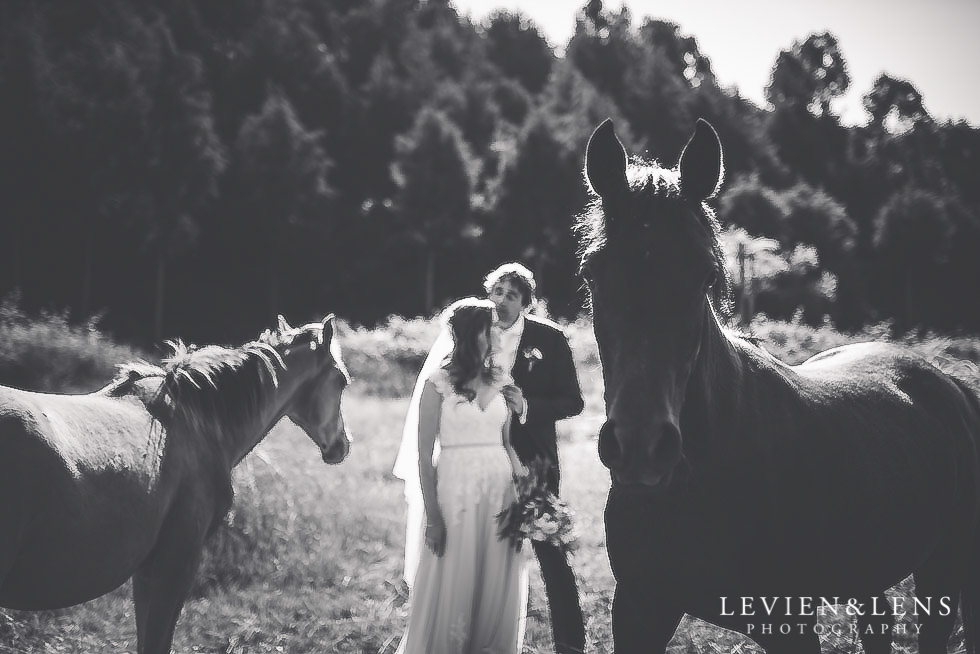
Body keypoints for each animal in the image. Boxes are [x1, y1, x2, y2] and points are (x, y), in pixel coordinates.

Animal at [576, 119, 980, 654]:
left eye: (704, 276)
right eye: (591, 273)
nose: (640, 447)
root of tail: (950, 383)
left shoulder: (789, 621)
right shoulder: (639, 610)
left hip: (942, 573)